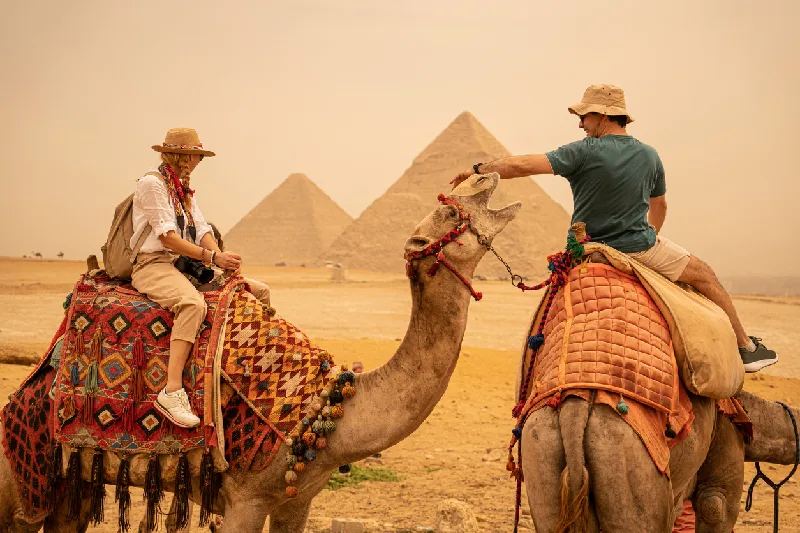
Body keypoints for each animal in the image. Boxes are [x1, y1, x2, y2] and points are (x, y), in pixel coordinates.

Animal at [0, 172, 522, 533]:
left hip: (69, 481)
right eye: (450, 214)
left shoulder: (297, 500)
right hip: (20, 469)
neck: (329, 412)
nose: (485, 173)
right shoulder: (243, 498)